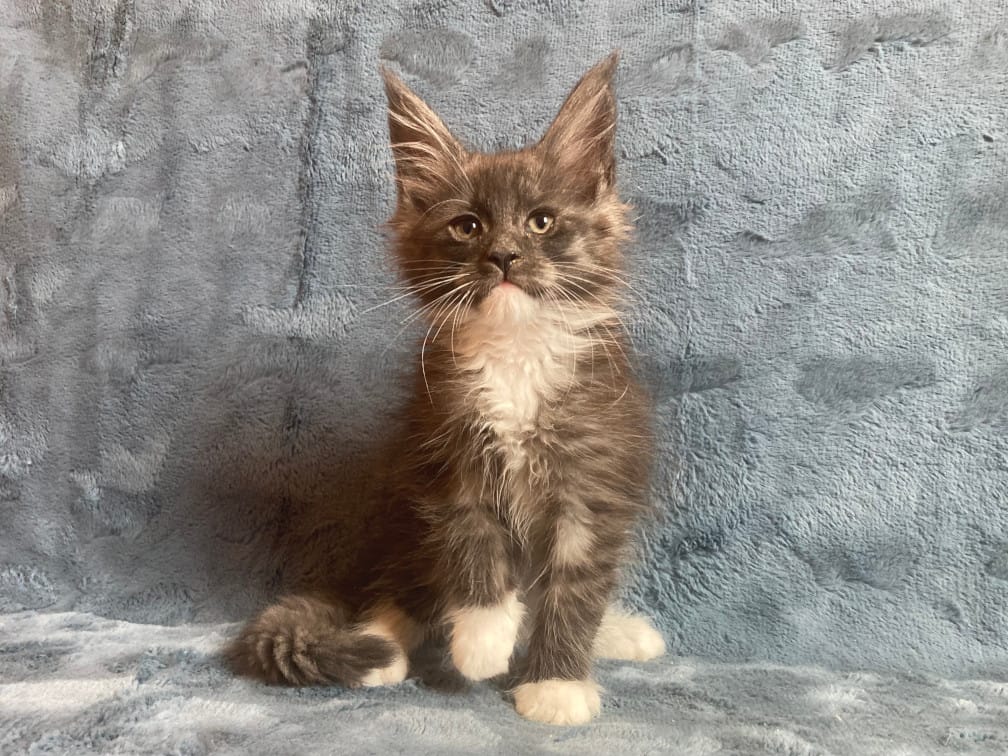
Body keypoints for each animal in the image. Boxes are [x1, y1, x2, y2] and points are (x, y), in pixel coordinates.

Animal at [226, 52, 666, 726]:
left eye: (541, 222)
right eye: (467, 226)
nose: (505, 255)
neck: (515, 355)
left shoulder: (594, 479)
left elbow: (575, 587)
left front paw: (556, 683)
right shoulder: (443, 453)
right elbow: (471, 541)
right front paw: (483, 638)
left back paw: (618, 633)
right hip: (403, 525)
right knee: (400, 591)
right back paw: (380, 645)